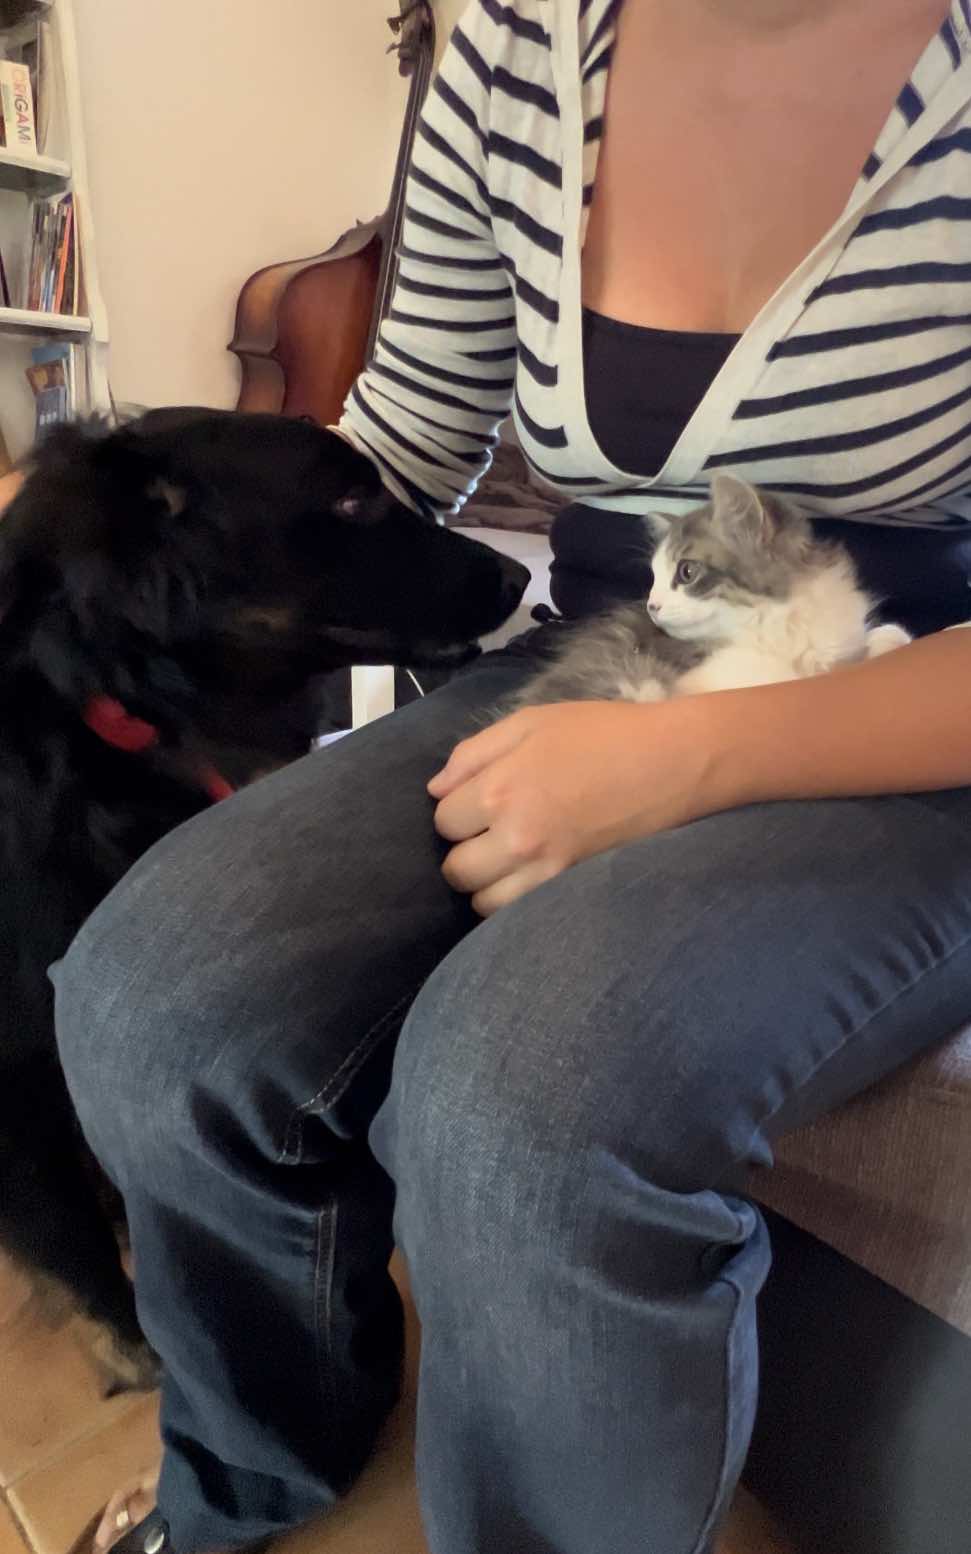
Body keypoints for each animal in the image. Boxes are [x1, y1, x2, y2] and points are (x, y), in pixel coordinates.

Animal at [0, 407, 528, 1387]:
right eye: (351, 501)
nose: (518, 576)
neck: (109, 711)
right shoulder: (11, 1081)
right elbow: (67, 1242)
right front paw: (134, 1347)